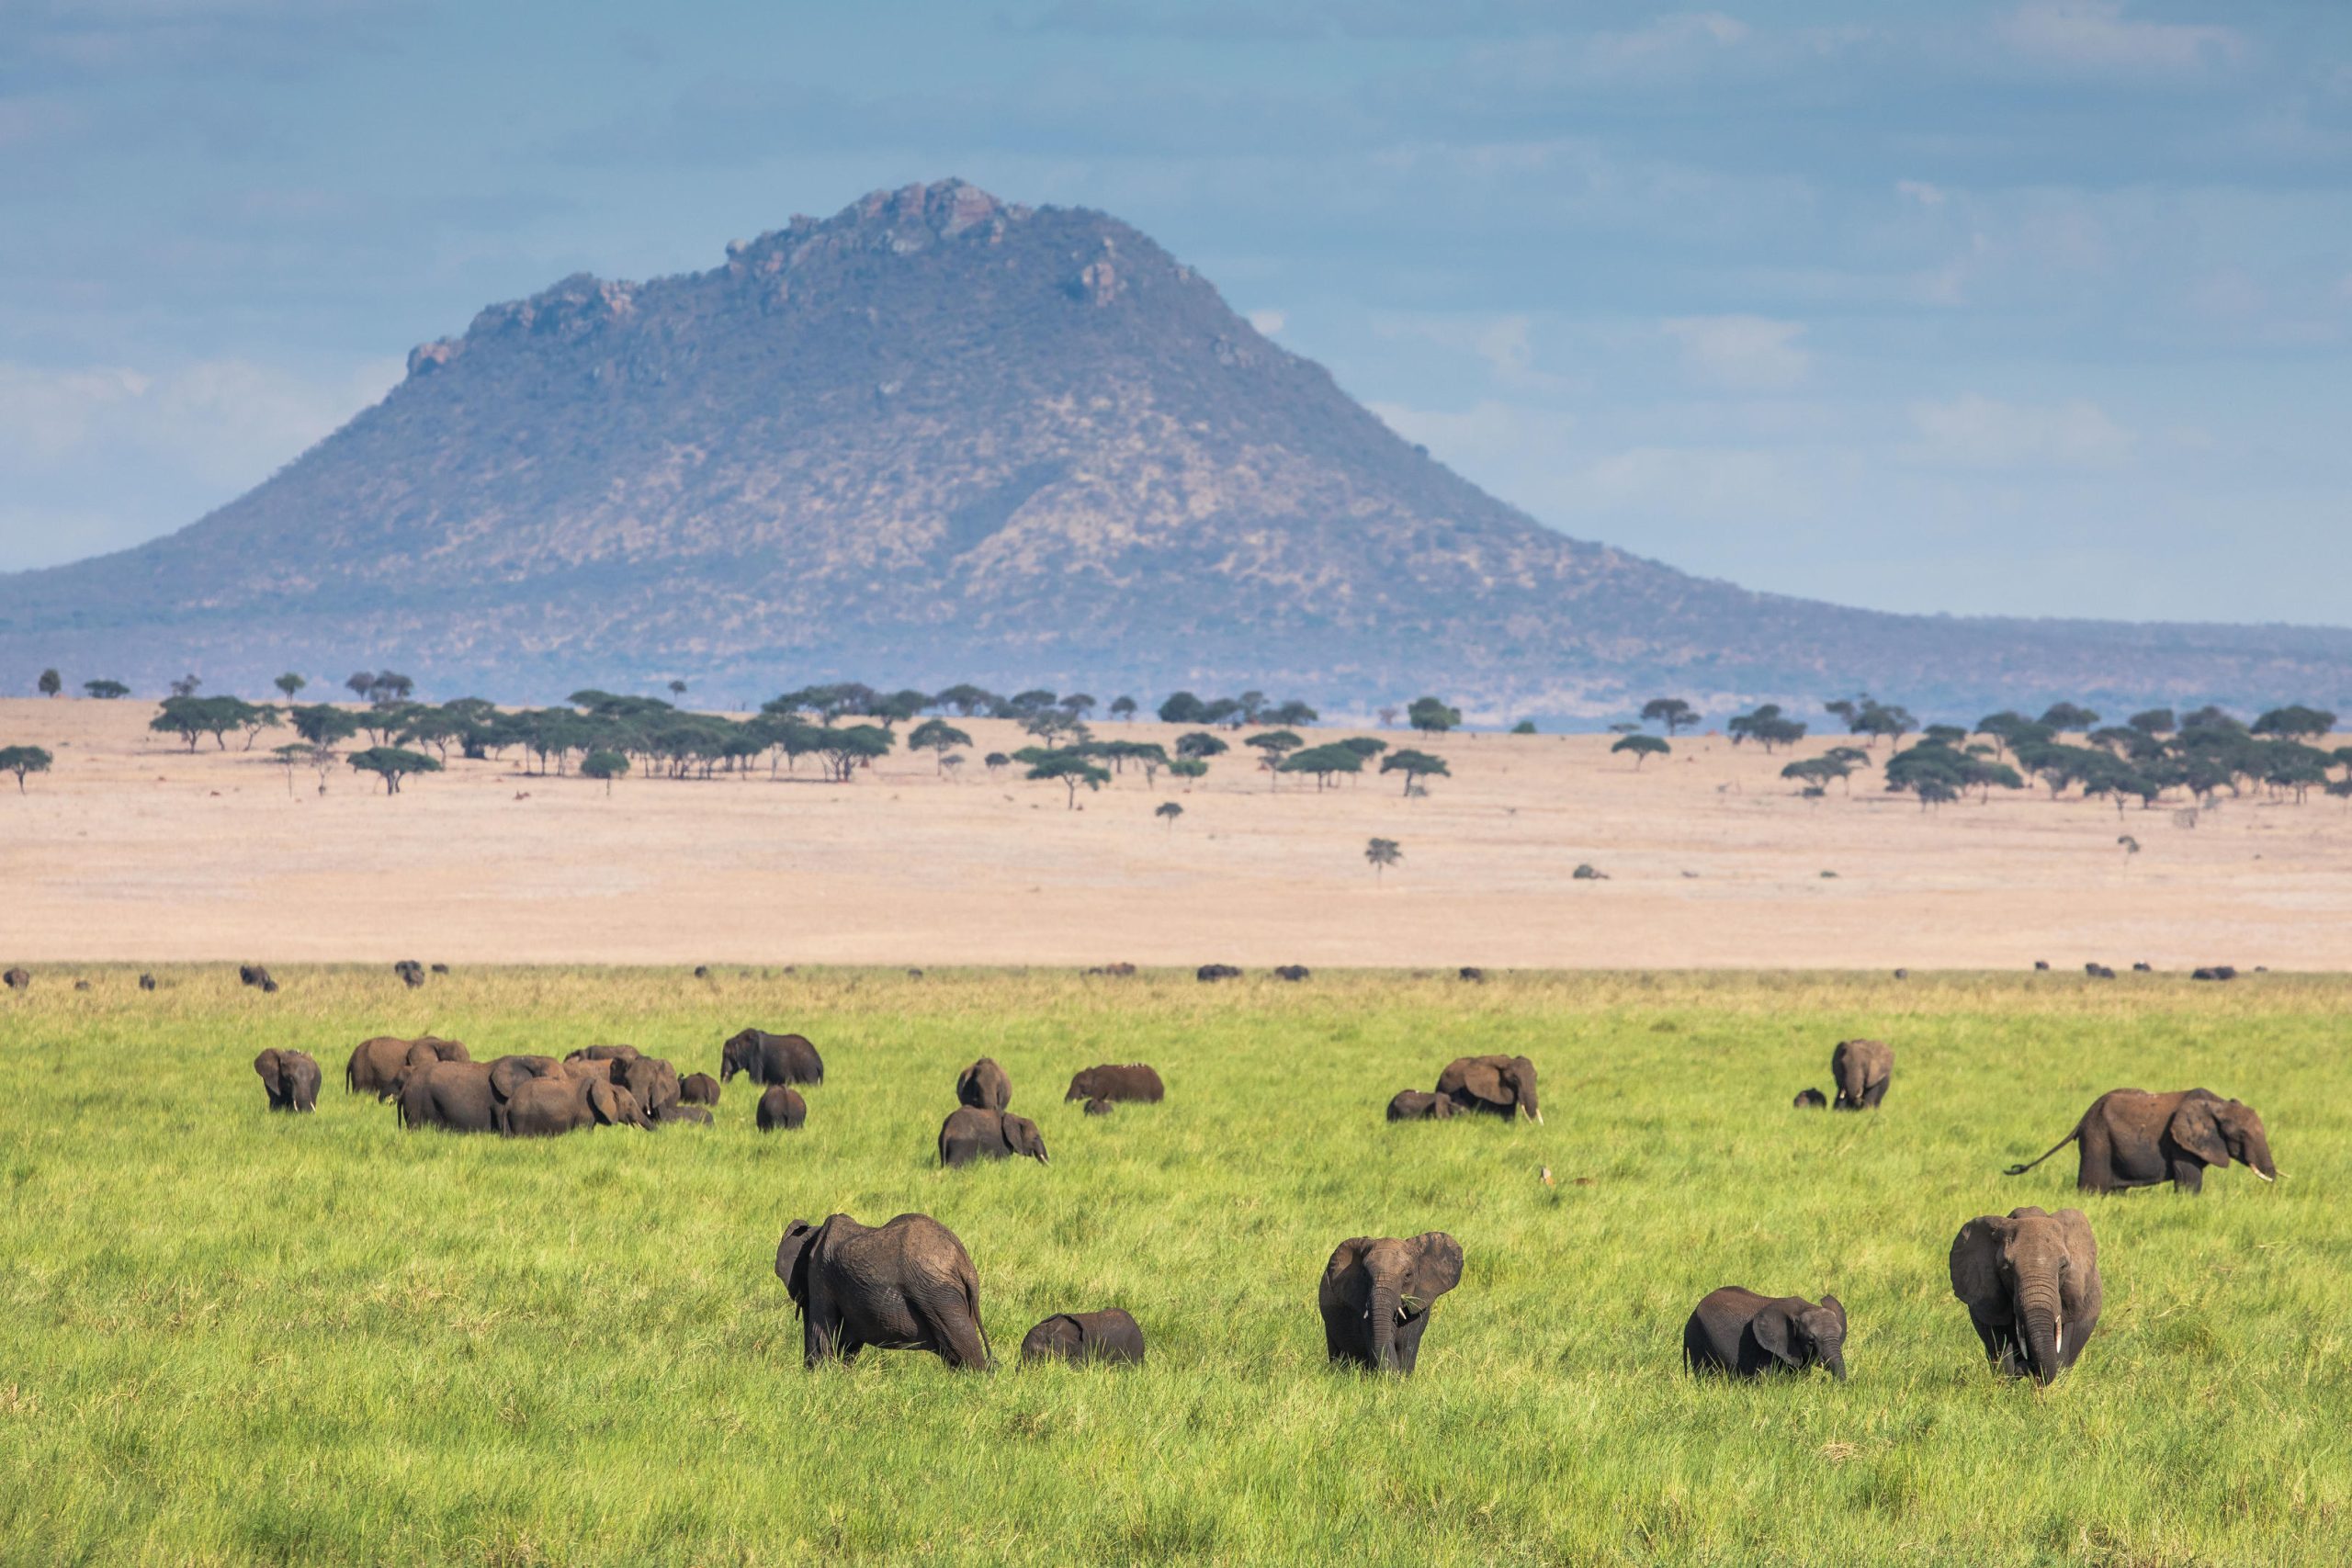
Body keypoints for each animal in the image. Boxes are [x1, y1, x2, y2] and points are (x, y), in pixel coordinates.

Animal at [504, 1074, 654, 1136]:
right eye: (630, 1104)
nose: (657, 1133)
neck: (609, 1085)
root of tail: (509, 1103)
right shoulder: (585, 1112)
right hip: (522, 1117)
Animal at [773, 1212, 990, 1369]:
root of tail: (965, 1264)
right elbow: (848, 1342)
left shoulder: (820, 1274)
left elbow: (821, 1331)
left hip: (937, 1294)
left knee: (964, 1349)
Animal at [2003, 1088, 2276, 1194]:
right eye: (2240, 1136)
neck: (2217, 1104)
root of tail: (2082, 1120)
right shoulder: (2179, 1143)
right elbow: (2189, 1181)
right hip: (2097, 1139)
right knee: (2092, 1188)